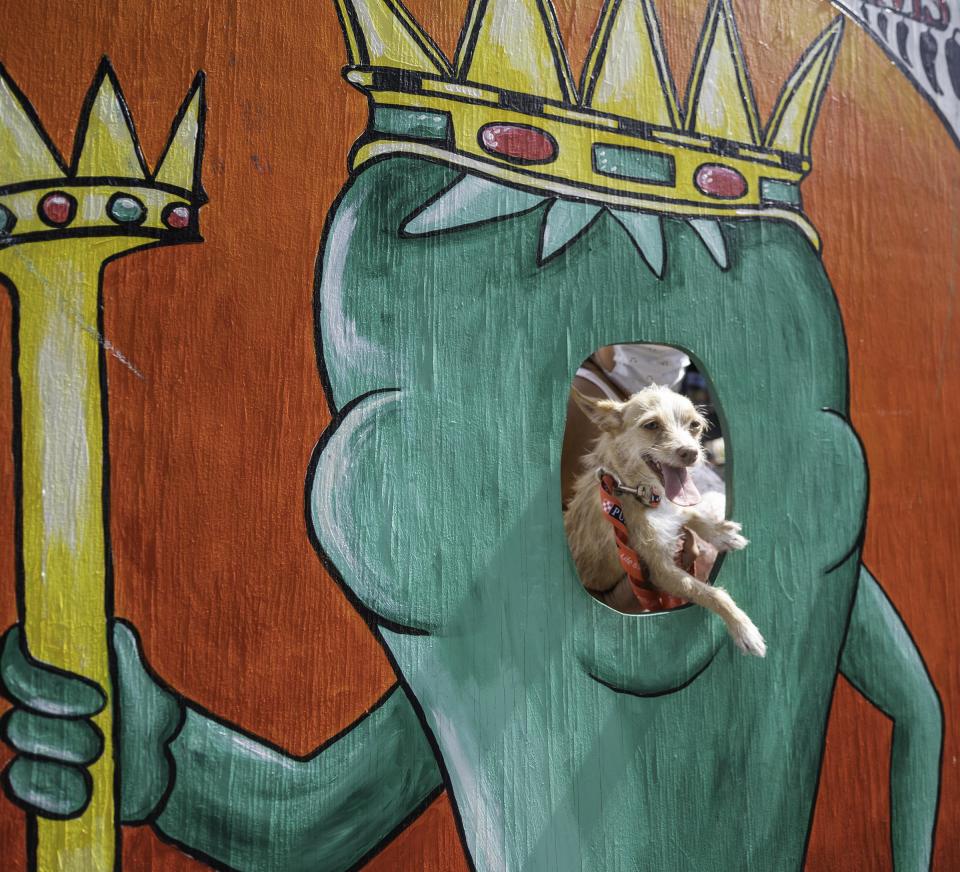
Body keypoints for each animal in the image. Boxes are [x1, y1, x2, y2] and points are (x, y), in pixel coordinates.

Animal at [568, 384, 768, 656]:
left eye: (694, 425)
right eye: (651, 425)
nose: (690, 453)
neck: (640, 492)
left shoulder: (675, 510)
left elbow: (692, 514)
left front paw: (721, 533)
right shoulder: (659, 570)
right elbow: (710, 593)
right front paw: (744, 628)